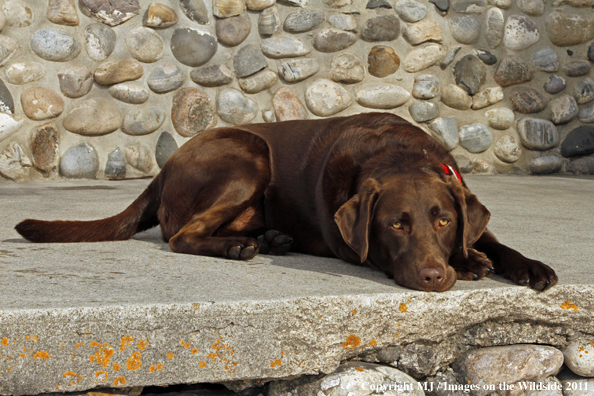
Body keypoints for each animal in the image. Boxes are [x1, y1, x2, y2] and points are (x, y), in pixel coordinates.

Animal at [16, 113, 556, 292]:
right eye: (395, 226)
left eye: (443, 221)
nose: (434, 276)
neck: (396, 152)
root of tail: (166, 167)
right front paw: (470, 263)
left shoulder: (464, 201)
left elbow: (494, 238)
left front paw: (528, 267)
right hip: (247, 156)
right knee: (181, 235)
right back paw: (239, 248)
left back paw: (272, 238)